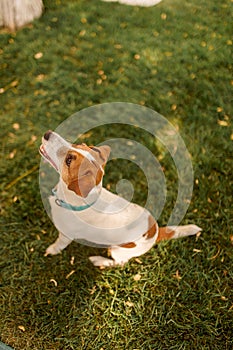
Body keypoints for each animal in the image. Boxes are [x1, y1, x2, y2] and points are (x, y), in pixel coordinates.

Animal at [39, 131, 201, 268]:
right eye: (78, 145)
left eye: (69, 160)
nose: (47, 133)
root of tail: (155, 232)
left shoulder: (65, 235)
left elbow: (58, 244)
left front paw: (52, 250)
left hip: (117, 250)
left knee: (119, 263)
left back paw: (99, 260)